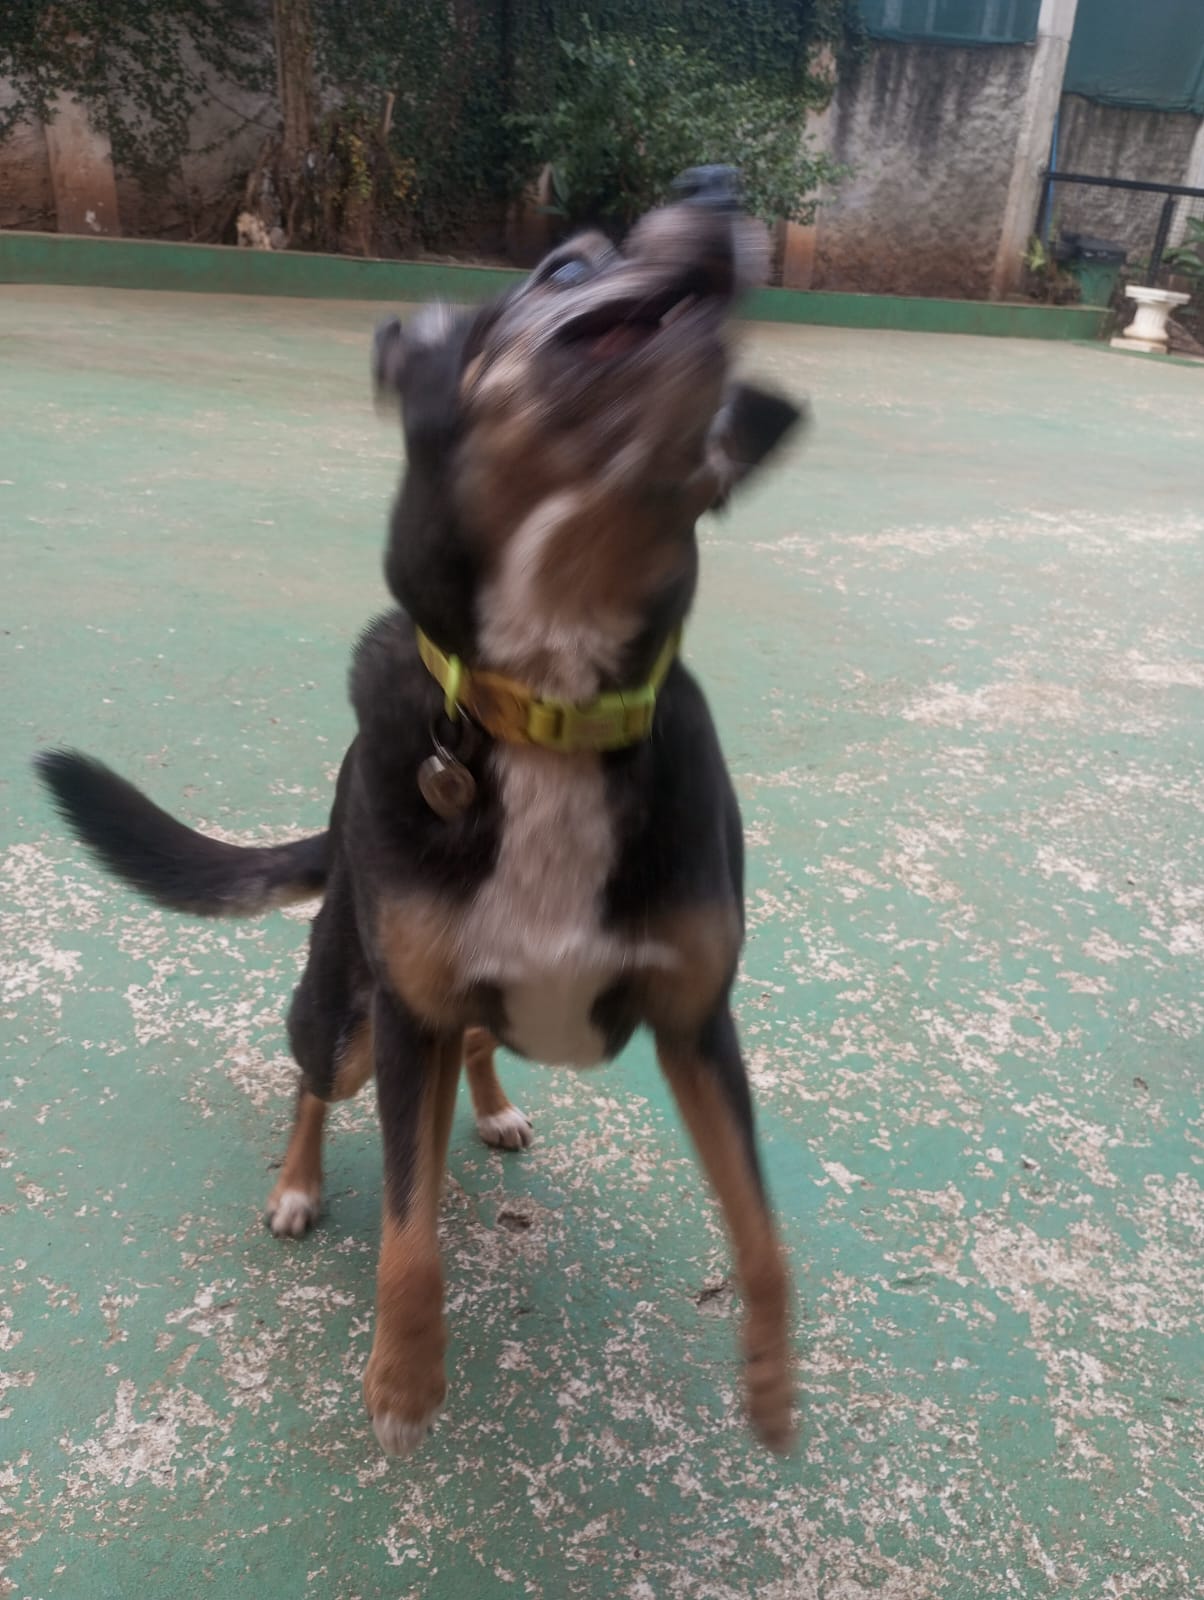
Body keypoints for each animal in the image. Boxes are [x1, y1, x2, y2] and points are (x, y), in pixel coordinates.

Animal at [36, 167, 804, 1457]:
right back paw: (297, 1185)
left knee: (481, 1045)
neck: (548, 702)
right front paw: (401, 1383)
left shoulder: (699, 1023)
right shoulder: (405, 1023)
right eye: (564, 268)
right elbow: (409, 1231)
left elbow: (761, 1230)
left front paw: (772, 1384)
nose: (717, 187)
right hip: (348, 1005)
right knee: (311, 1075)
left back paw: (491, 1111)